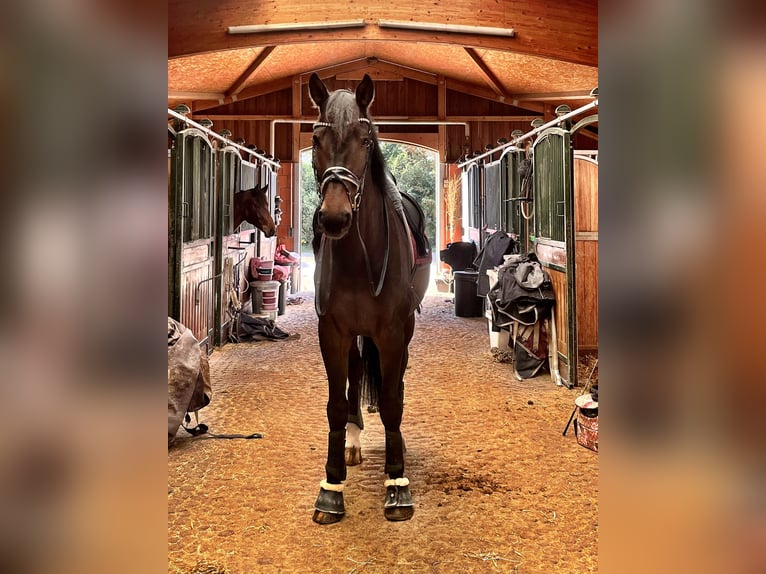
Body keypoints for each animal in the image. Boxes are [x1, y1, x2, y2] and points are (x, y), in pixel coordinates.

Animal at [308, 73, 431, 524]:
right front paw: (331, 486)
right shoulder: (333, 332)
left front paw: (397, 483)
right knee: (358, 373)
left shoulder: (393, 332)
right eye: (316, 139)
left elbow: (392, 401)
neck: (361, 257)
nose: (334, 218)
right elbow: (336, 403)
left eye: (365, 140)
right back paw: (353, 442)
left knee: (397, 385)